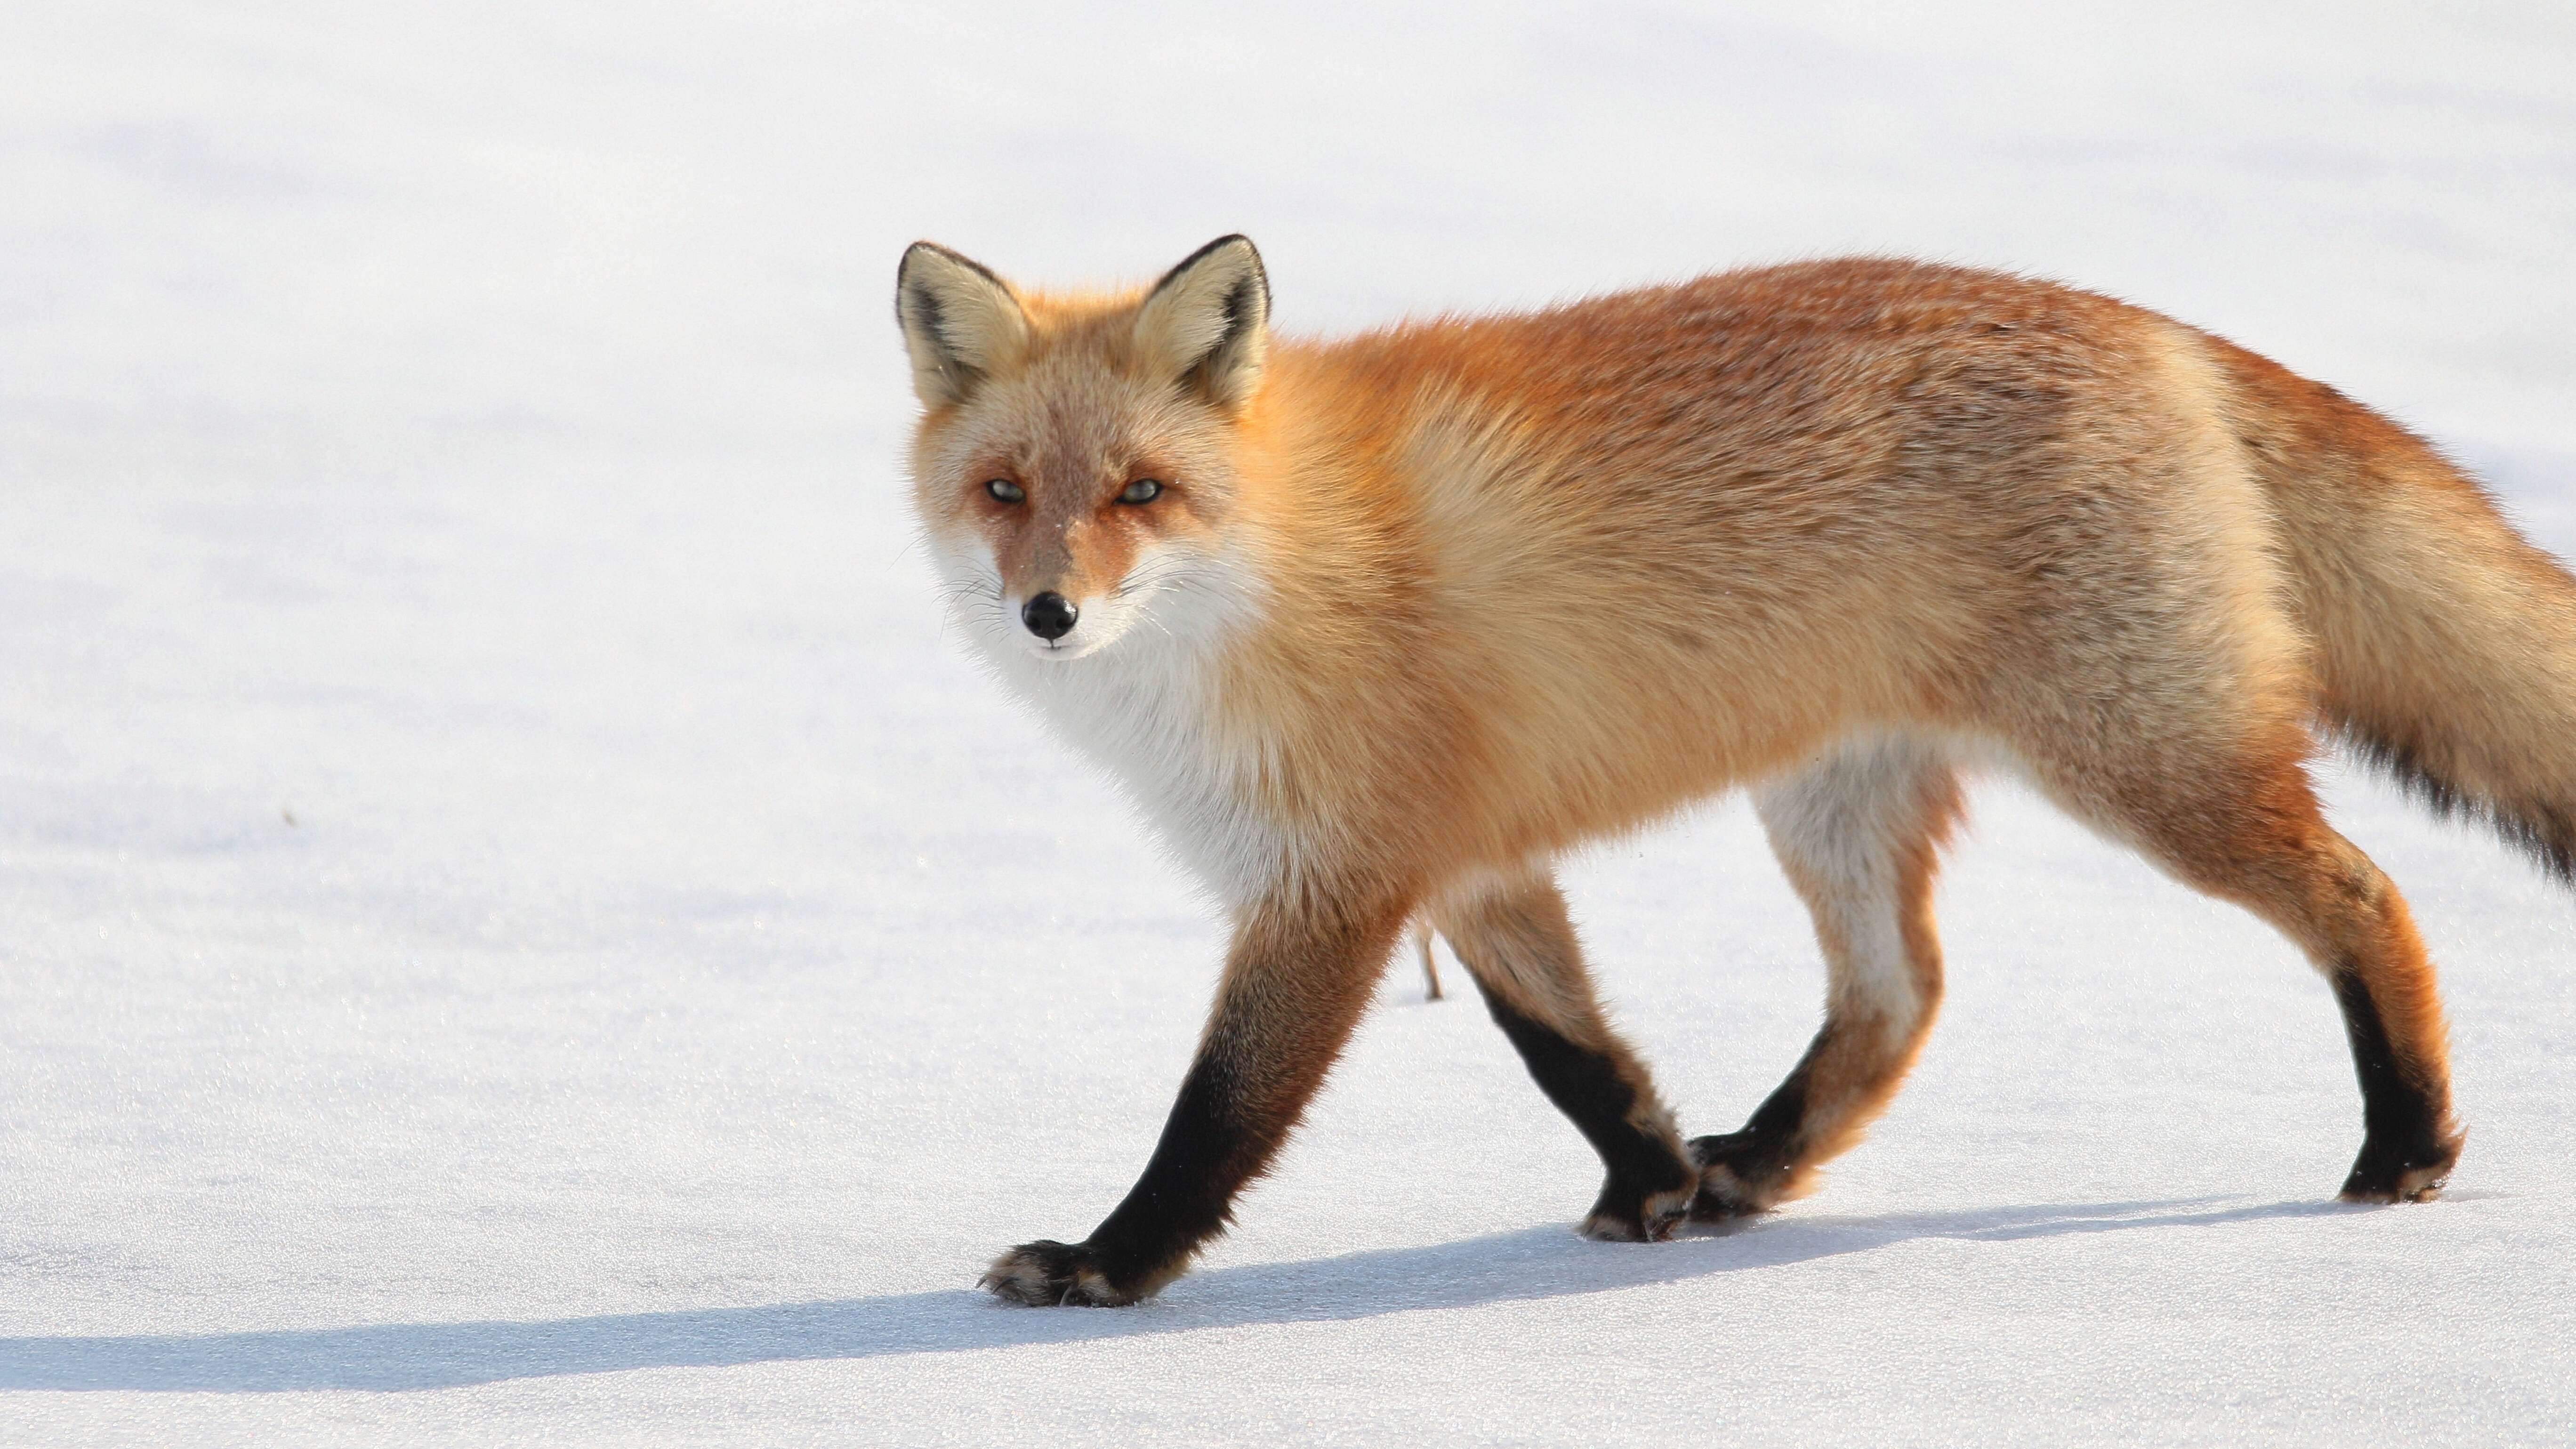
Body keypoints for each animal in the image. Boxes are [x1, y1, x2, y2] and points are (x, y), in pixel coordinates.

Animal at [891, 231, 2576, 1304]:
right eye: (1005, 491)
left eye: (1142, 493)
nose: (1051, 613)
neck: (1283, 565)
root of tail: (2150, 325)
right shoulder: (1473, 856)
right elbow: (1573, 1051)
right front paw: (1652, 1189)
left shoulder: (1340, 882)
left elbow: (1219, 1111)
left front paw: (1108, 1268)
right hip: (1834, 800)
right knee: (1901, 995)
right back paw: (1757, 1167)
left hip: (2150, 767)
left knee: (2368, 898)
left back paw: (2407, 1147)